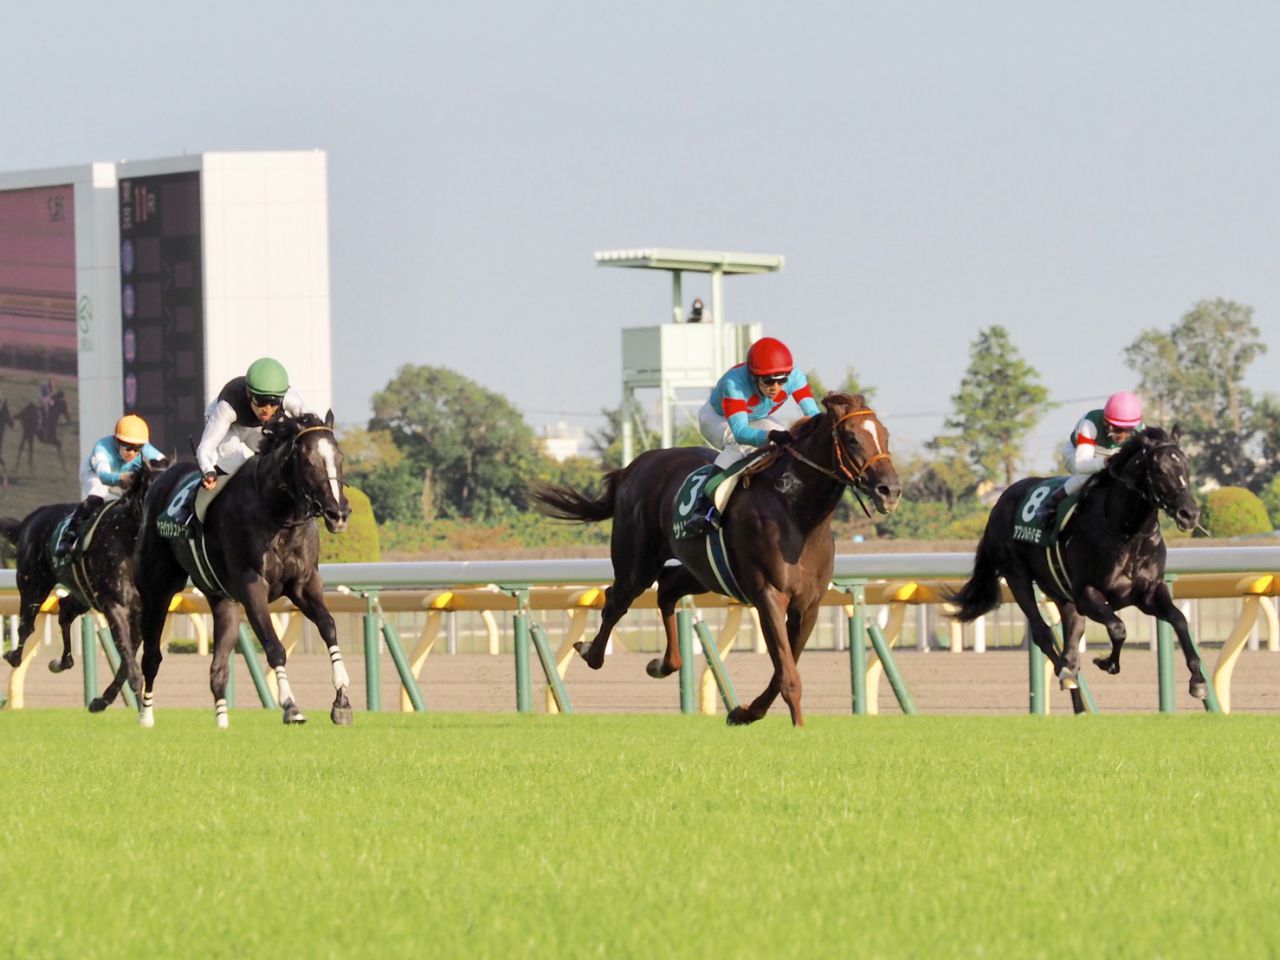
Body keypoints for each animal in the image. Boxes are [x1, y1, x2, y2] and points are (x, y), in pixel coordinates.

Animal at [0, 460, 167, 723]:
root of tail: (29, 520)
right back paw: (15, 655)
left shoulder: (142, 614)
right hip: (32, 584)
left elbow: (126, 661)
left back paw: (62, 661)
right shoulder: (115, 606)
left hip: (82, 595)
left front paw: (103, 701)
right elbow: (127, 655)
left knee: (64, 611)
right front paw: (139, 697)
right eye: (153, 487)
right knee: (27, 625)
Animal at [133, 412, 352, 727]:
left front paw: (342, 701)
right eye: (308, 460)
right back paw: (146, 715)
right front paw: (290, 705)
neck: (276, 514)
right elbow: (274, 646)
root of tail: (159, 481)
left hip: (223, 600)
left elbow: (328, 627)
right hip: (158, 591)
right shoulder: (252, 586)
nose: (339, 513)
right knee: (151, 656)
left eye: (339, 456)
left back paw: (223, 722)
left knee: (218, 668)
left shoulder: (304, 583)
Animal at [534, 393, 901, 727]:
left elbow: (784, 666)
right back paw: (591, 652)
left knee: (666, 590)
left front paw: (745, 712)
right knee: (616, 600)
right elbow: (787, 674)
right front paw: (798, 726)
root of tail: (631, 468)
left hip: (702, 571)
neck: (797, 513)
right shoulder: (768, 596)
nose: (890, 490)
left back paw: (663, 664)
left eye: (885, 434)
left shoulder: (808, 604)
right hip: (637, 562)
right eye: (852, 438)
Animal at [949, 425, 1205, 708]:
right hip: (1017, 577)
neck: (1126, 532)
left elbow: (1179, 620)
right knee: (1043, 634)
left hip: (1059, 589)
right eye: (1159, 469)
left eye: (1186, 466)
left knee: (1073, 634)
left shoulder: (1147, 594)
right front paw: (1107, 662)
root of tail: (1001, 500)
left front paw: (1198, 680)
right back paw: (1069, 677)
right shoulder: (1087, 594)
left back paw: (1074, 688)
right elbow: (1118, 629)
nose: (1189, 514)